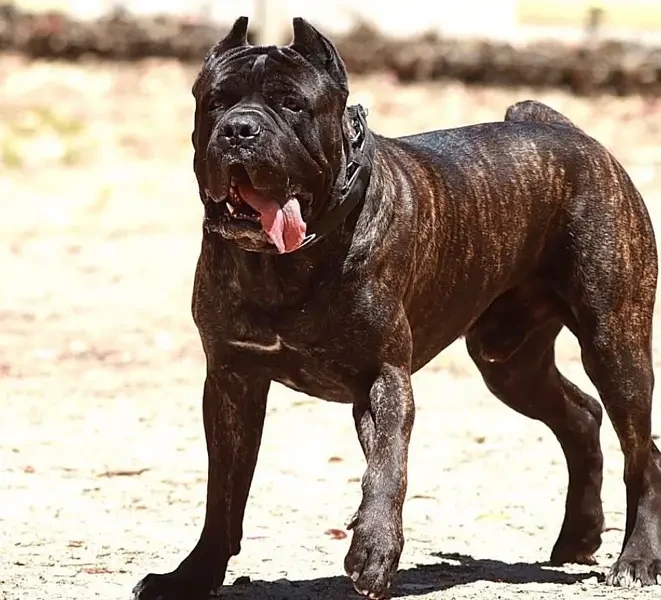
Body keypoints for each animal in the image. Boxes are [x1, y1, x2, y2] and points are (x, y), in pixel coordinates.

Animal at [130, 16, 660, 596]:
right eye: (216, 102)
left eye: (291, 104)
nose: (239, 130)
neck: (289, 260)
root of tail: (574, 134)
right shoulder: (231, 381)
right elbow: (223, 492)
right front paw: (192, 574)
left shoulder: (382, 376)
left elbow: (387, 467)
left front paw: (373, 552)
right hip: (508, 361)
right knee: (582, 416)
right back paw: (579, 536)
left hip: (615, 347)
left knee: (642, 453)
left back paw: (636, 559)